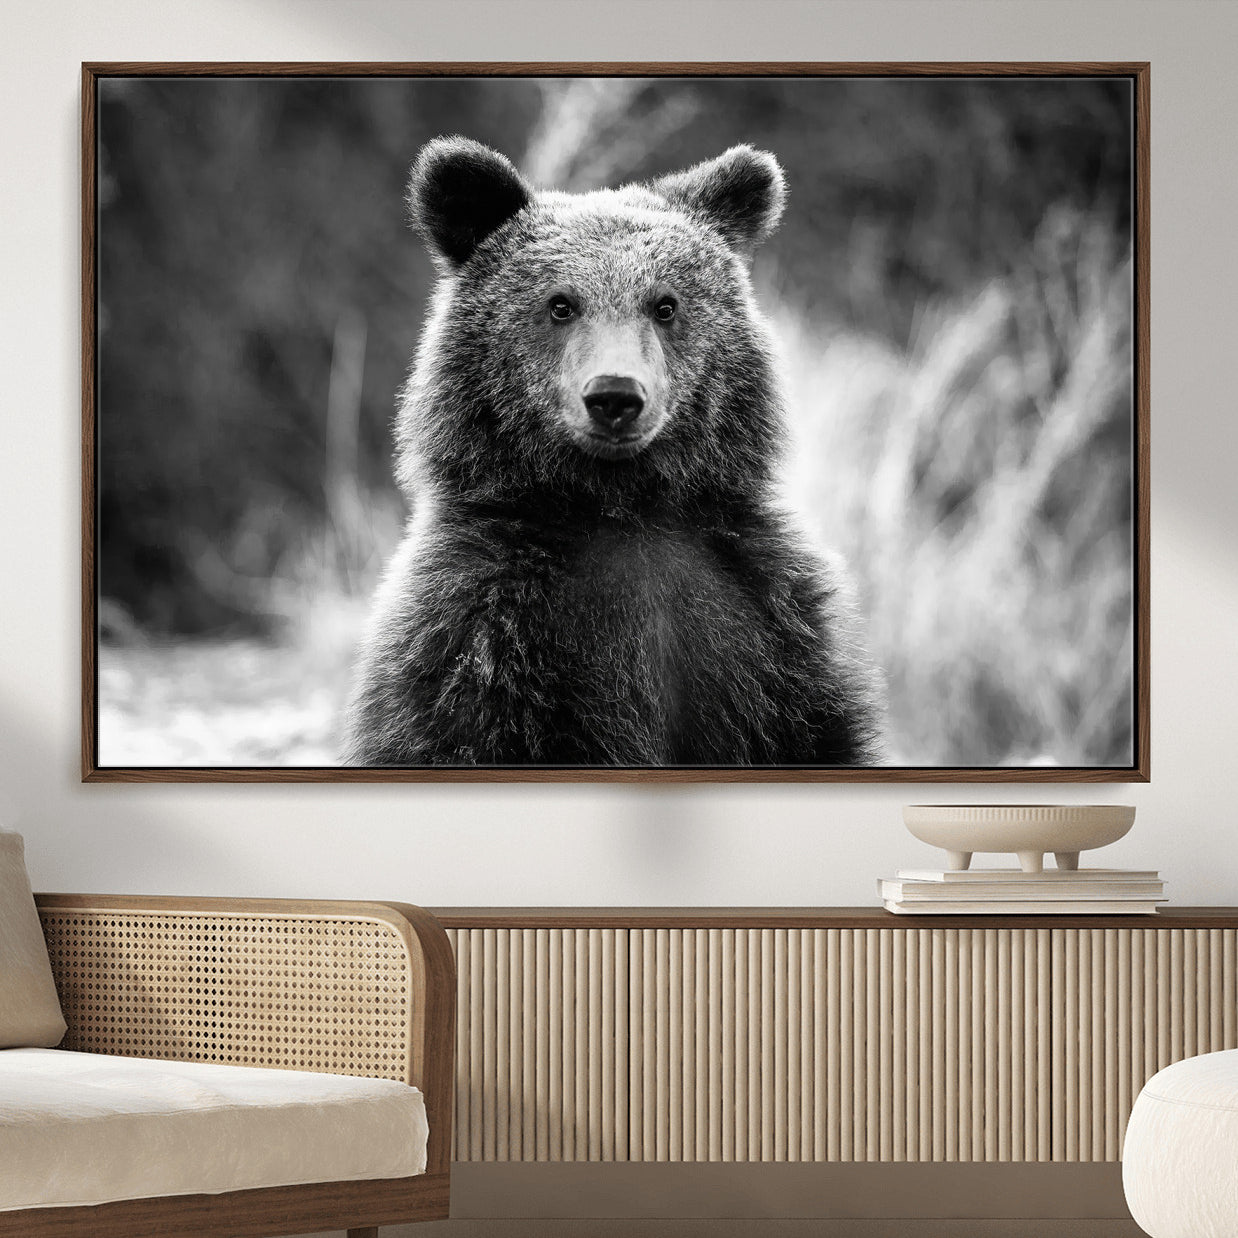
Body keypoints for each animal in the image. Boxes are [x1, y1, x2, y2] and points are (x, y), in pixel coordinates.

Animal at [343, 136, 883, 768]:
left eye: (665, 305)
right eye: (560, 304)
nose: (615, 396)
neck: (620, 507)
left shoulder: (769, 625)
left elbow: (816, 731)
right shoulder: (478, 636)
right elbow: (452, 730)